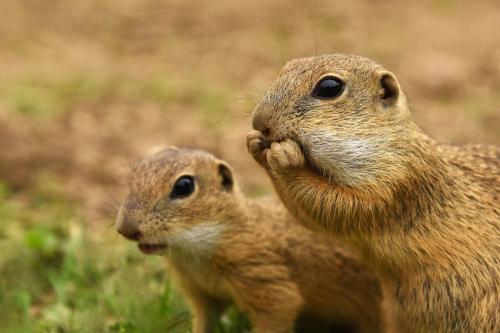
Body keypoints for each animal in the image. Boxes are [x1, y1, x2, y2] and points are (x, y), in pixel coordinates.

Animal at [115, 147, 380, 332]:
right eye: (134, 172)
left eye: (184, 186)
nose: (125, 229)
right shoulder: (202, 296)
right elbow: (204, 323)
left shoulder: (265, 282)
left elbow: (278, 313)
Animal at [247, 53, 500, 332]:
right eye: (285, 68)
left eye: (329, 87)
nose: (259, 122)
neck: (391, 144)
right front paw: (254, 144)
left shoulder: (397, 182)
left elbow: (339, 205)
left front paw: (285, 159)